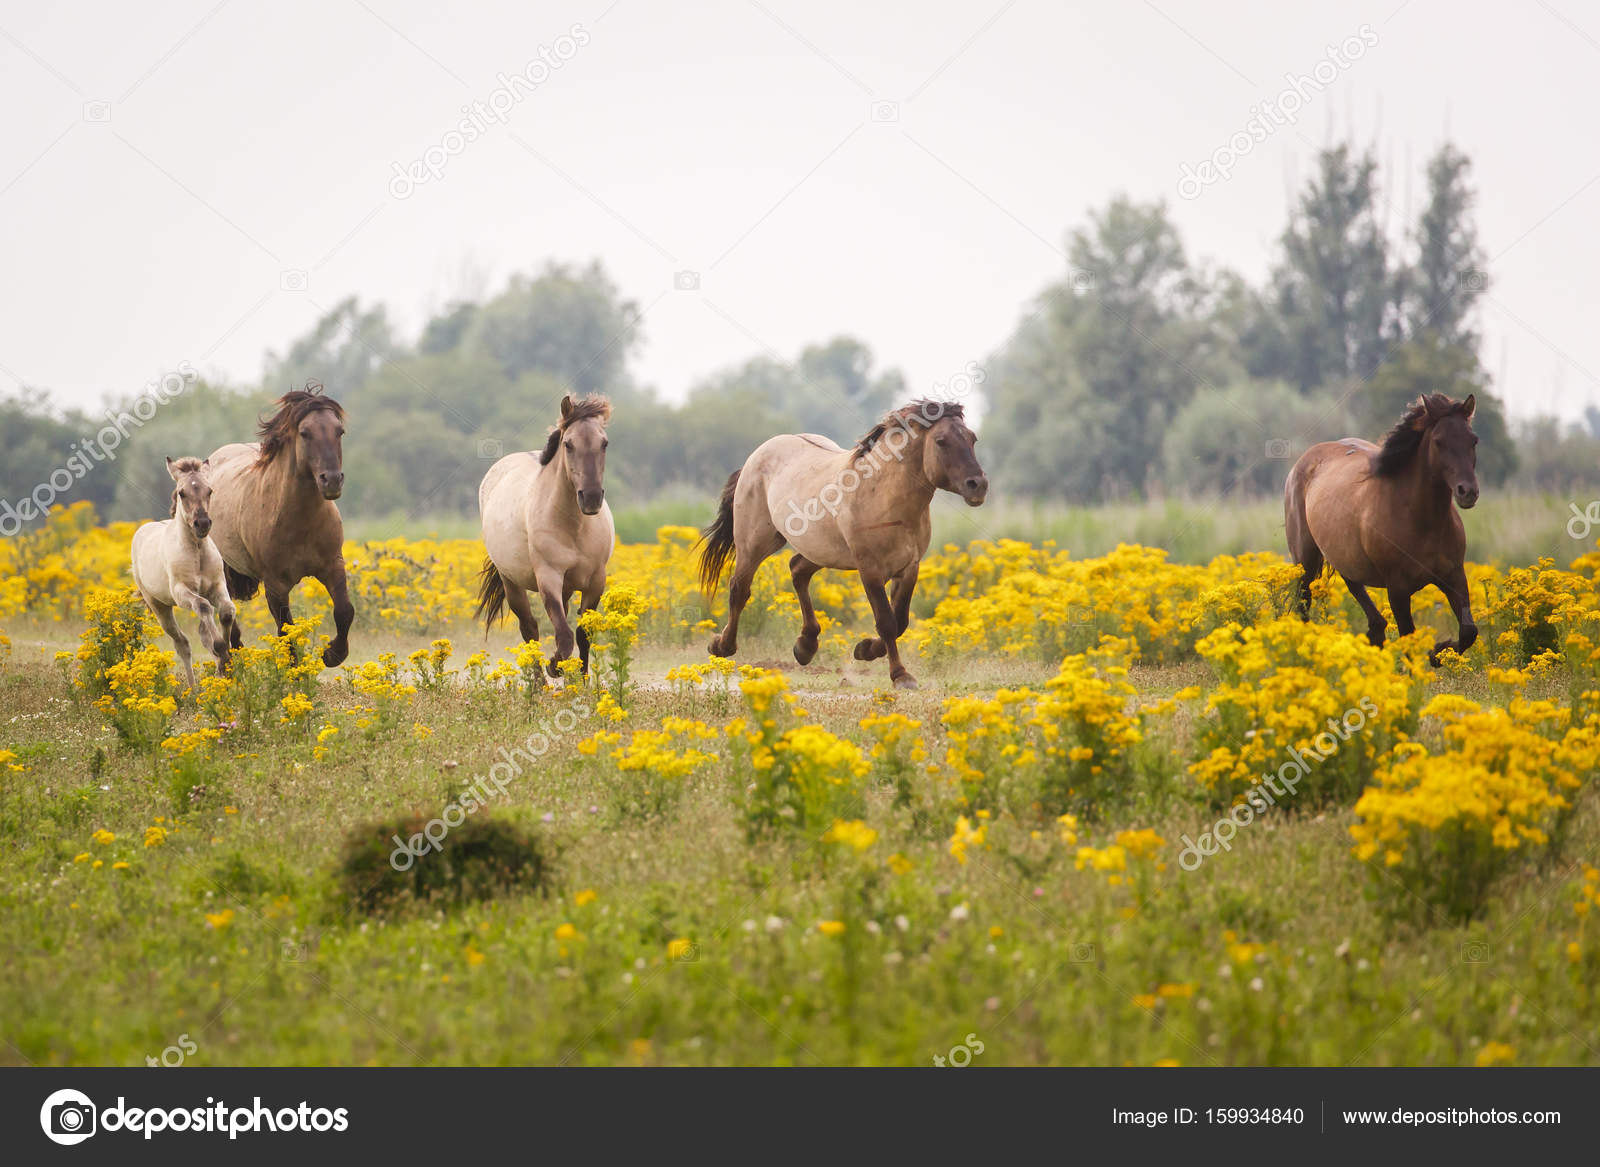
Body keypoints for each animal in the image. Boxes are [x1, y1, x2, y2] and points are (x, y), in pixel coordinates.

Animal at [130, 457, 237, 693]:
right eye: (182, 493)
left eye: (209, 490)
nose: (203, 523)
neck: (197, 551)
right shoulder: (181, 592)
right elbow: (204, 608)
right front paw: (221, 651)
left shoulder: (218, 586)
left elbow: (226, 612)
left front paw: (225, 663)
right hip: (159, 607)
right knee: (182, 644)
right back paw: (193, 690)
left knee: (199, 634)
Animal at [206, 386, 355, 667]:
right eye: (305, 433)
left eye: (339, 431)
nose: (331, 480)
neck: (300, 521)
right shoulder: (275, 584)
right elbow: (286, 628)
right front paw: (295, 670)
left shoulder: (333, 565)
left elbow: (344, 611)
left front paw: (332, 654)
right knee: (227, 614)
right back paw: (233, 659)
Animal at [476, 394, 614, 674]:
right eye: (568, 444)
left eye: (604, 443)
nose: (591, 498)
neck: (574, 527)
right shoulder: (548, 577)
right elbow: (564, 636)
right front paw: (555, 666)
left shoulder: (596, 581)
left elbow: (583, 634)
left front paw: (580, 678)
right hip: (512, 583)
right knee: (530, 630)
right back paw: (539, 681)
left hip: (567, 587)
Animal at [696, 399, 988, 690]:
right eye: (941, 441)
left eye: (973, 438)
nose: (978, 485)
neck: (884, 496)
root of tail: (755, 457)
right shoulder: (870, 569)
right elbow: (887, 622)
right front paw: (900, 675)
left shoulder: (908, 568)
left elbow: (901, 620)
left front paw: (865, 649)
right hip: (755, 543)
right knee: (740, 589)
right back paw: (722, 646)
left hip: (821, 550)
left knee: (797, 570)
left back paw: (805, 646)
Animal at [1284, 392, 1480, 664]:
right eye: (1439, 442)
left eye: (1473, 440)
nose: (1467, 491)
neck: (1424, 522)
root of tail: (1301, 464)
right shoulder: (1397, 589)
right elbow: (1408, 639)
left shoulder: (1454, 576)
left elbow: (1469, 631)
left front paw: (1438, 652)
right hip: (1305, 560)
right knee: (1303, 604)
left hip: (1344, 556)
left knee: (1360, 596)